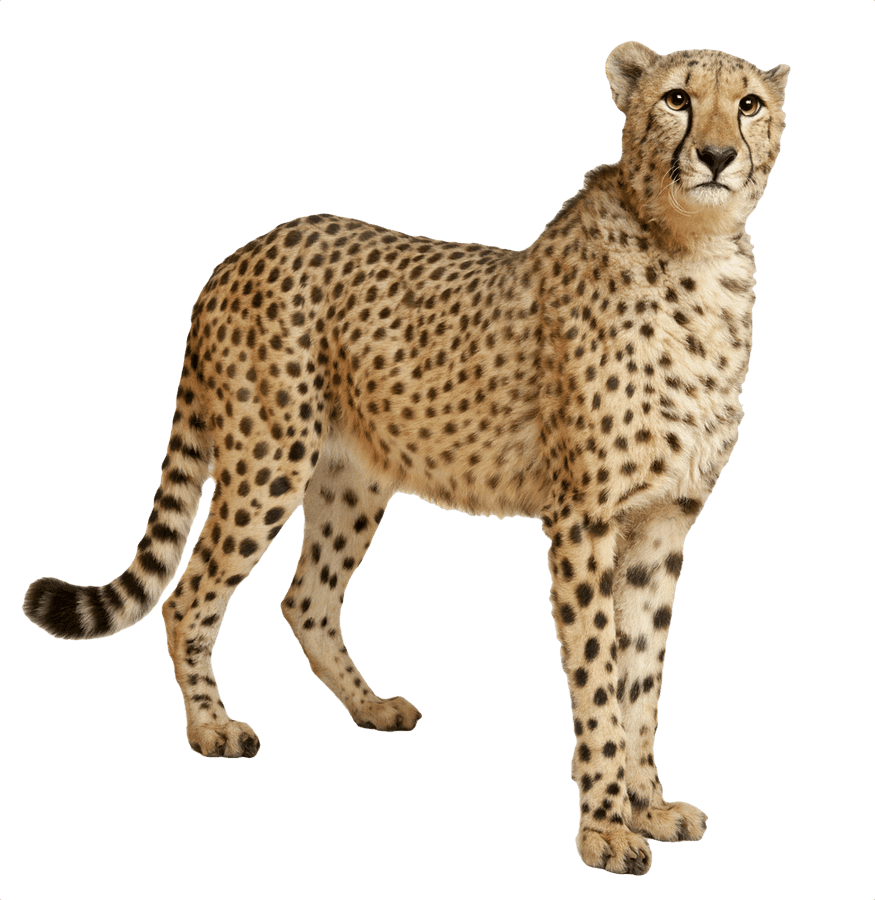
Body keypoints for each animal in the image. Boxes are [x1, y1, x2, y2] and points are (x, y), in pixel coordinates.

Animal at [23, 41, 789, 875]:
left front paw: (647, 804)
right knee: (189, 594)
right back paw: (211, 728)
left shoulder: (662, 524)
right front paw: (605, 828)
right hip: (267, 460)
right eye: (677, 99)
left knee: (306, 598)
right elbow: (595, 675)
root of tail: (244, 249)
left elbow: (640, 674)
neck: (692, 250)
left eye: (747, 104)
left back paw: (369, 706)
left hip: (351, 481)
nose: (715, 156)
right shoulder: (582, 521)